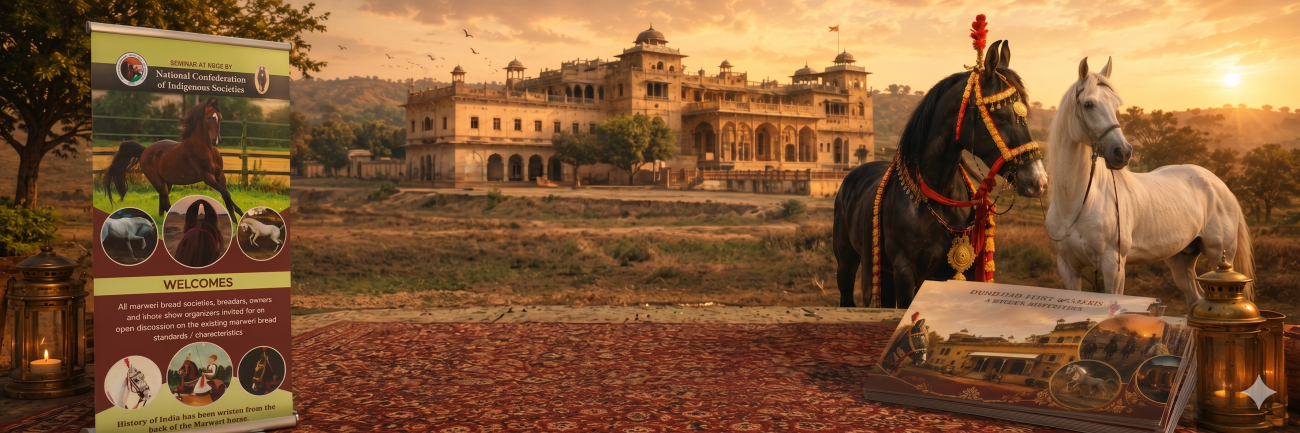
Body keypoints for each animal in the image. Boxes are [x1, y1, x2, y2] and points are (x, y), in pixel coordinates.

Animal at [102, 97, 244, 218]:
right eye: (208, 117)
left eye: (220, 118)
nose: (216, 140)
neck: (206, 149)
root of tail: (145, 151)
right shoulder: (207, 177)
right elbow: (226, 194)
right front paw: (240, 215)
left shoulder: (220, 175)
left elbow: (226, 196)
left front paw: (236, 218)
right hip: (158, 182)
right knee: (165, 202)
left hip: (167, 182)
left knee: (162, 202)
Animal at [834, 39, 1048, 308]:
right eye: (1000, 114)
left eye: (1025, 115)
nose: (1038, 180)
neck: (939, 195)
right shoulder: (905, 271)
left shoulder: (957, 271)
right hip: (847, 258)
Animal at [1044, 57, 1254, 306]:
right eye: (1088, 104)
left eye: (1116, 105)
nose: (1123, 152)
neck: (1076, 204)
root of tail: (1221, 187)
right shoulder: (1067, 267)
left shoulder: (1113, 267)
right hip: (1181, 258)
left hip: (1219, 255)